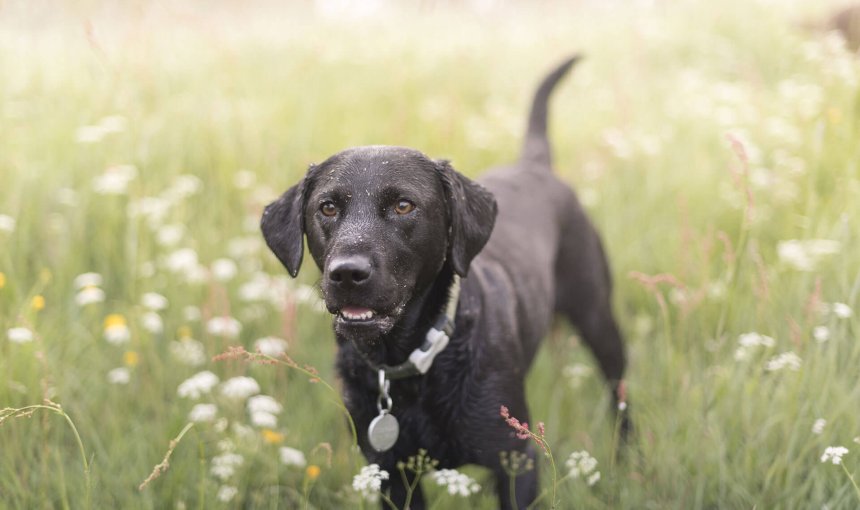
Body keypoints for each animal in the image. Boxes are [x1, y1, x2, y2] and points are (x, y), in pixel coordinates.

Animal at [258, 57, 628, 508]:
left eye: (404, 205)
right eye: (327, 208)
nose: (347, 273)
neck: (412, 367)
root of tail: (535, 166)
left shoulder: (516, 461)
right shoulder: (391, 475)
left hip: (598, 318)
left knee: (620, 395)